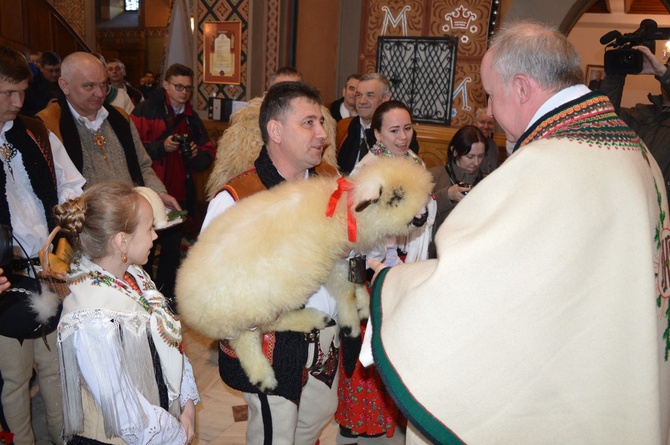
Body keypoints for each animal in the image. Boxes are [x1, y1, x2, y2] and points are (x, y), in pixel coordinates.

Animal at [176, 155, 434, 388]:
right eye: (397, 196)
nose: (424, 217)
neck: (344, 209)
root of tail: (188, 308)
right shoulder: (332, 260)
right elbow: (345, 292)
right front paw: (351, 323)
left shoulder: (341, 257)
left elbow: (355, 281)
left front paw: (364, 302)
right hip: (250, 308)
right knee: (246, 340)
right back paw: (263, 376)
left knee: (270, 325)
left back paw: (313, 320)